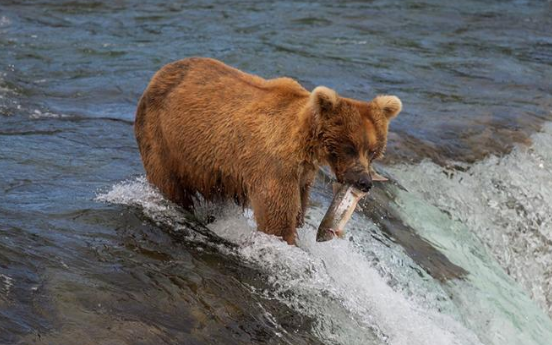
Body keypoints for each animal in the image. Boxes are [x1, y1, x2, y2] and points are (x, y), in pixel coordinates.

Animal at [134, 57, 402, 245]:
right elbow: (277, 219)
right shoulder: (274, 167)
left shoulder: (303, 175)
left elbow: (298, 211)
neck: (305, 144)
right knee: (169, 184)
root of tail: (160, 73)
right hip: (162, 138)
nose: (364, 182)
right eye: (349, 148)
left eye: (374, 151)